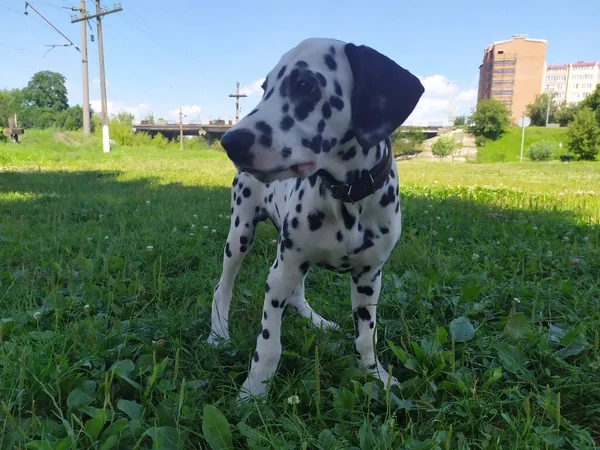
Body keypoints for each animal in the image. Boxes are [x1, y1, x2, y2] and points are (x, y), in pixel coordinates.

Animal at [209, 37, 424, 400]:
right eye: (265, 88)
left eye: (305, 86)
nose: (230, 142)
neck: (347, 195)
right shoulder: (280, 273)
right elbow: (268, 344)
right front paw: (254, 391)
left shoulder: (369, 277)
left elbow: (366, 335)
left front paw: (374, 374)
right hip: (240, 236)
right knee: (221, 288)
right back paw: (218, 335)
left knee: (298, 295)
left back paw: (317, 321)